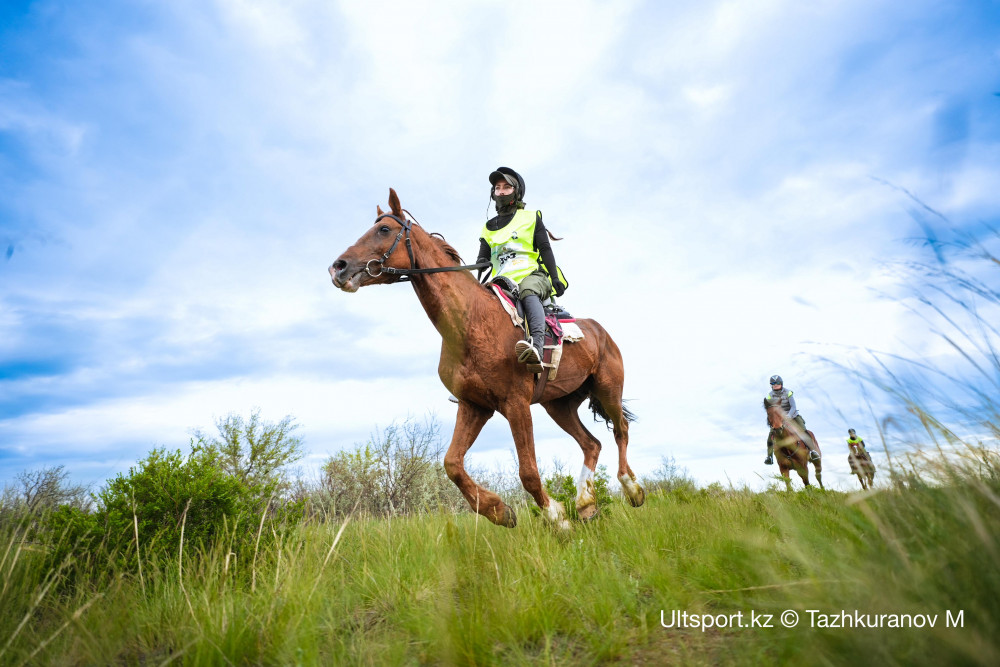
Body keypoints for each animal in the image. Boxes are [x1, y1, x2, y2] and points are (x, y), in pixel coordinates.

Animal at [324, 190, 644, 528]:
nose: (338, 267)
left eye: (384, 230)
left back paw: (632, 489)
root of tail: (600, 331)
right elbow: (452, 464)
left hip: (608, 389)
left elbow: (528, 472)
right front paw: (498, 510)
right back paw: (585, 503)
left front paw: (556, 518)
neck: (471, 322)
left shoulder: (515, 404)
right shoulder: (474, 405)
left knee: (621, 430)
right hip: (559, 405)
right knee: (591, 443)